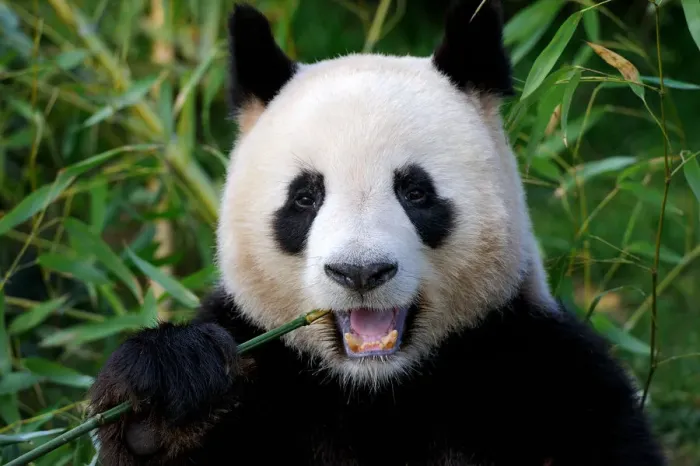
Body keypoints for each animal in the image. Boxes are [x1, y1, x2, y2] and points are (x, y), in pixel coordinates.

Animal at [88, 1, 667, 465]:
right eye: (306, 197)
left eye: (415, 192)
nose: (360, 272)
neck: (375, 389)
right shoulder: (264, 370)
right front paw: (163, 397)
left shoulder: (543, 372)